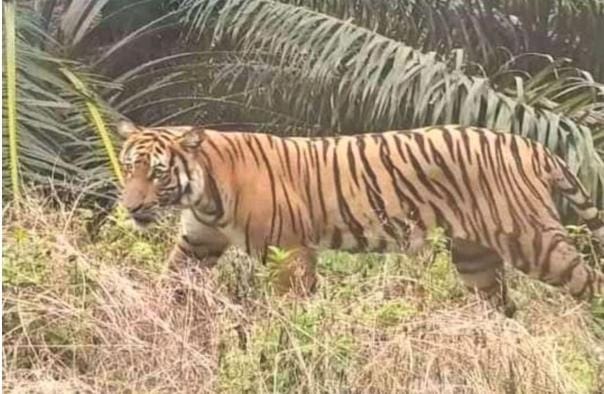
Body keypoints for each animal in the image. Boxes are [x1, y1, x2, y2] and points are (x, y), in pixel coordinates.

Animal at [118, 121, 604, 316]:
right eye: (128, 167)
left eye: (157, 172)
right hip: (476, 258)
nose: (131, 207)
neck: (203, 194)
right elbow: (171, 282)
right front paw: (149, 318)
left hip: (535, 242)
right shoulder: (198, 243)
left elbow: (290, 306)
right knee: (503, 305)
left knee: (590, 283)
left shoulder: (289, 251)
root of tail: (532, 145)